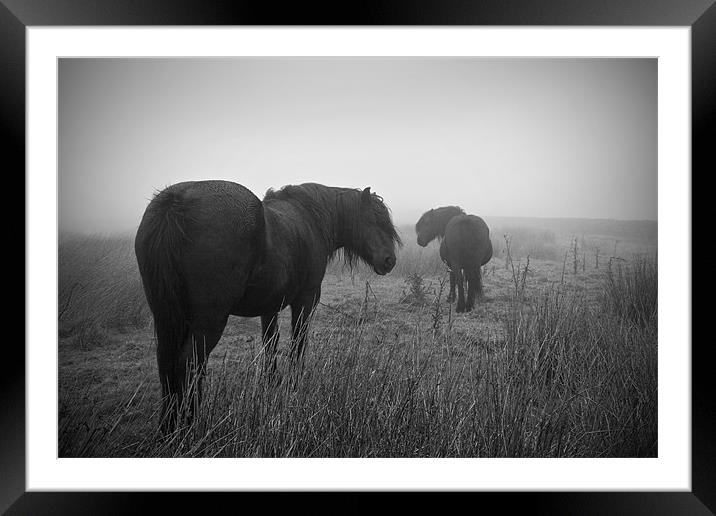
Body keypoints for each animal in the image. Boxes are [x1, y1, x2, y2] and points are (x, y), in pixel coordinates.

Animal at [136, 181, 402, 428]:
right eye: (374, 219)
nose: (390, 260)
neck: (311, 218)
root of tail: (175, 203)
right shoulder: (305, 300)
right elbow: (298, 343)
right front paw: (294, 386)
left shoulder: (269, 307)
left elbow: (270, 344)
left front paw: (271, 386)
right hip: (209, 322)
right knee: (189, 364)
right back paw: (190, 422)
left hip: (167, 317)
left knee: (167, 362)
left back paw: (169, 425)